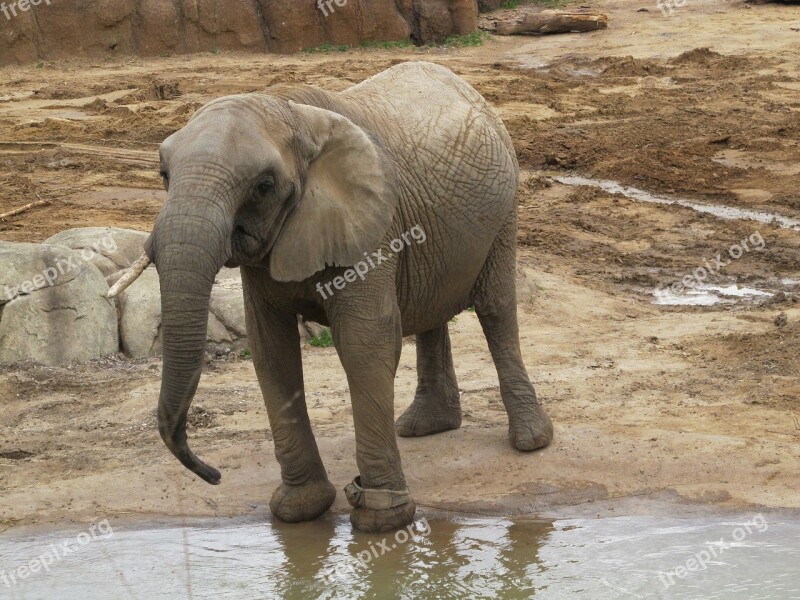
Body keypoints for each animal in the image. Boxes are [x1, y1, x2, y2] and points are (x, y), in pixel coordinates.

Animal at [123, 59, 556, 528]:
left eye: (263, 186)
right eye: (164, 175)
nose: (213, 474)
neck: (291, 115)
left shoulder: (371, 225)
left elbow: (365, 342)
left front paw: (381, 516)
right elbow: (271, 350)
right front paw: (299, 509)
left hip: (504, 211)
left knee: (495, 308)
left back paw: (531, 440)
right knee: (431, 311)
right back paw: (424, 426)